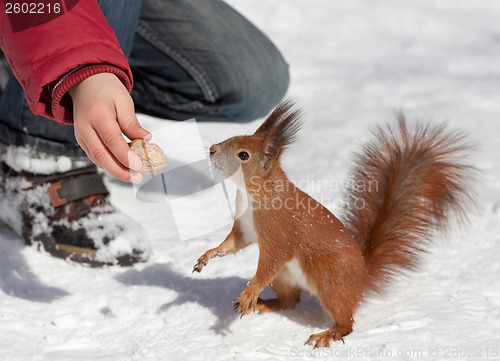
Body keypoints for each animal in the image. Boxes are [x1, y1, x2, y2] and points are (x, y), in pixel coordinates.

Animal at [192, 98, 476, 346]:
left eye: (243, 155)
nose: (212, 149)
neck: (257, 192)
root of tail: (362, 278)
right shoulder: (246, 227)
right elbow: (233, 244)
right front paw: (208, 256)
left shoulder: (278, 231)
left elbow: (270, 260)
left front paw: (250, 291)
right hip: (285, 276)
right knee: (291, 300)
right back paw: (266, 303)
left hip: (330, 280)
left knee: (345, 320)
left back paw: (328, 333)